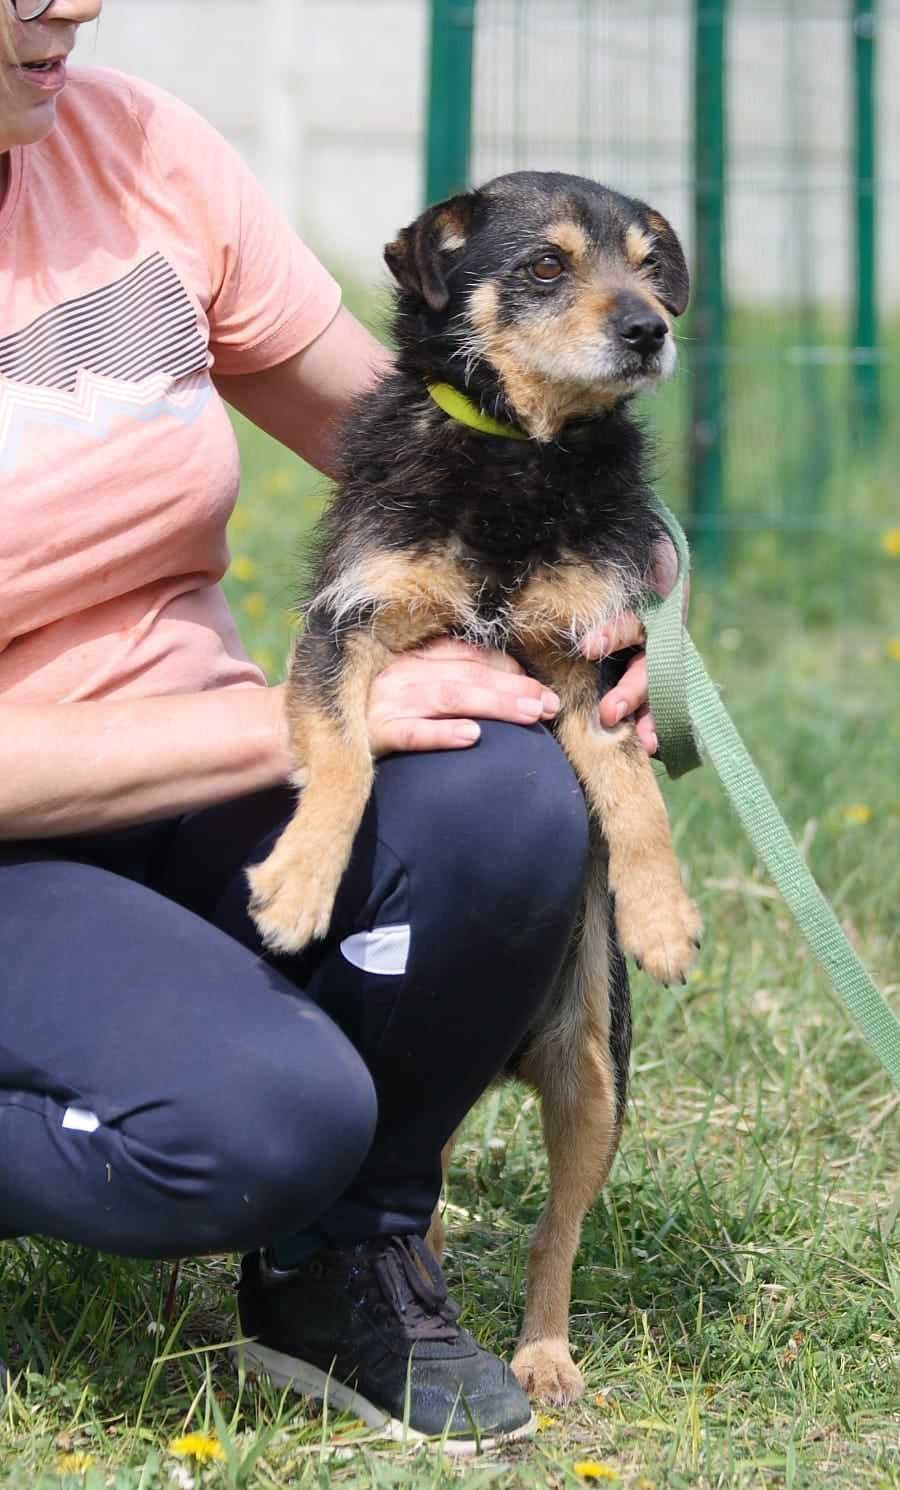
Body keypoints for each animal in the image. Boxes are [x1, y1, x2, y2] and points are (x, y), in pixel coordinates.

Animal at [247, 174, 703, 1406]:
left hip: (593, 1073)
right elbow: (345, 755)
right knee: (434, 1197)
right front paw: (300, 884)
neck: (520, 457)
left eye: (651, 264)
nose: (649, 330)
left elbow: (636, 800)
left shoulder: (595, 662)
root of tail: (502, 1057)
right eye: (546, 265)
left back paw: (542, 1357)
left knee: (558, 1234)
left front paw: (664, 915)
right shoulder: (349, 626)